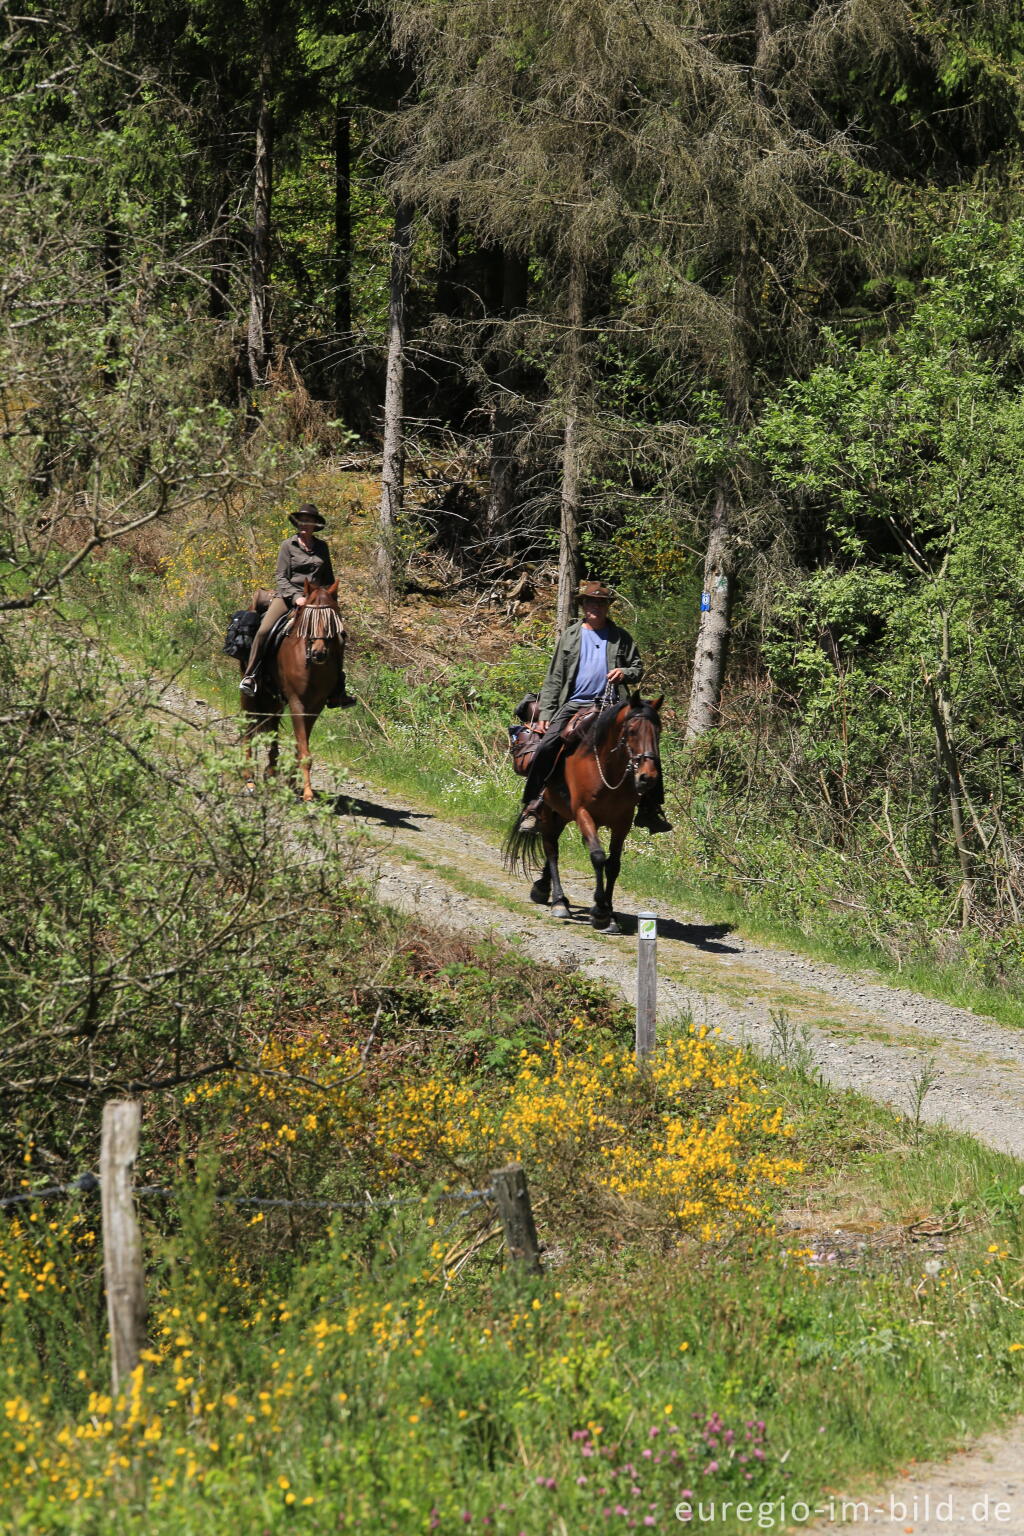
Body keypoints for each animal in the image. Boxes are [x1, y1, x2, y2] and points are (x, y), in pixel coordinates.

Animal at [241, 577, 348, 804]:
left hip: (275, 698)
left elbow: (301, 746)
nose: (319, 653)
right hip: (252, 691)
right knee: (248, 727)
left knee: (271, 727)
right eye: (308, 618)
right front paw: (307, 793)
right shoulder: (297, 702)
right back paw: (249, 779)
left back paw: (270, 773)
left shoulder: (315, 706)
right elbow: (304, 750)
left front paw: (293, 785)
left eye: (332, 620)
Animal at [503, 700, 666, 933]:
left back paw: (542, 888)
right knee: (551, 850)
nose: (648, 777)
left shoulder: (622, 823)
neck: (607, 770)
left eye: (658, 732)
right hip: (549, 813)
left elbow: (613, 865)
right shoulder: (584, 814)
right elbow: (598, 857)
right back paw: (558, 901)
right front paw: (599, 913)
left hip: (562, 815)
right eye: (632, 731)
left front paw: (611, 914)